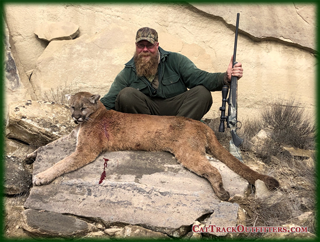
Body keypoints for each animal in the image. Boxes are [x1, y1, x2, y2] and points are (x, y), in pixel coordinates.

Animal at [26, 91, 278, 200]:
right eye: (72, 107)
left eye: (83, 108)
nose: (75, 118)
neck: (96, 115)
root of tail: (199, 123)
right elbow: (50, 143)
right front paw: (31, 156)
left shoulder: (85, 151)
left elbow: (61, 163)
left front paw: (41, 177)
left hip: (187, 152)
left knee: (213, 170)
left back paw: (221, 192)